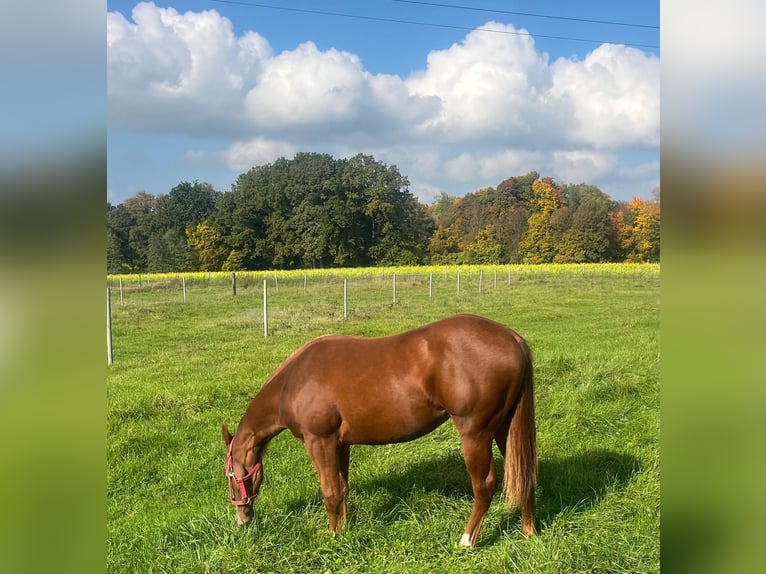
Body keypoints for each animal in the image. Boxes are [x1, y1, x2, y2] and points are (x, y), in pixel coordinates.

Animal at [222, 314, 537, 547]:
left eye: (230, 474)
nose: (241, 519)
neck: (293, 380)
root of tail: (512, 338)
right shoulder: (340, 444)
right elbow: (342, 489)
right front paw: (344, 531)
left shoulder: (319, 442)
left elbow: (330, 492)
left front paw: (333, 538)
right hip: (504, 429)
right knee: (525, 475)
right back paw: (528, 532)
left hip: (475, 434)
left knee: (484, 485)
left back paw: (467, 540)